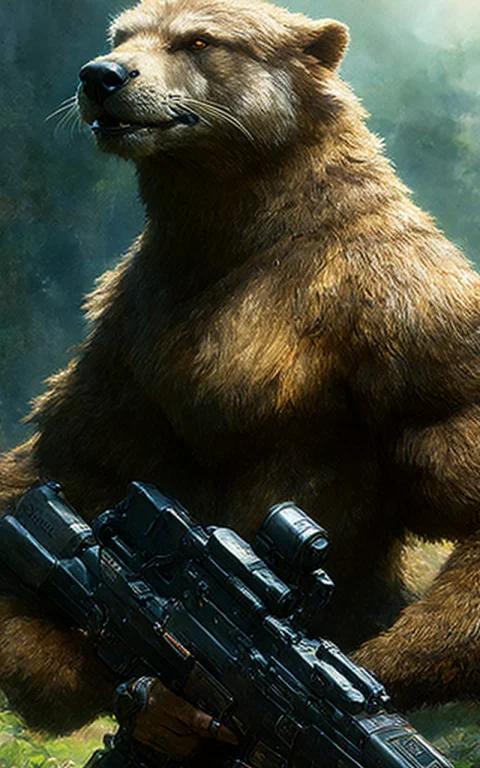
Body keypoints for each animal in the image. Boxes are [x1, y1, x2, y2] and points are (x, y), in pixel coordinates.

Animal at [1, 0, 480, 749]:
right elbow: (73, 458)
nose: (101, 76)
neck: (241, 231)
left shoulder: (412, 313)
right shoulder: (132, 324)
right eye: (122, 34)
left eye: (199, 41)